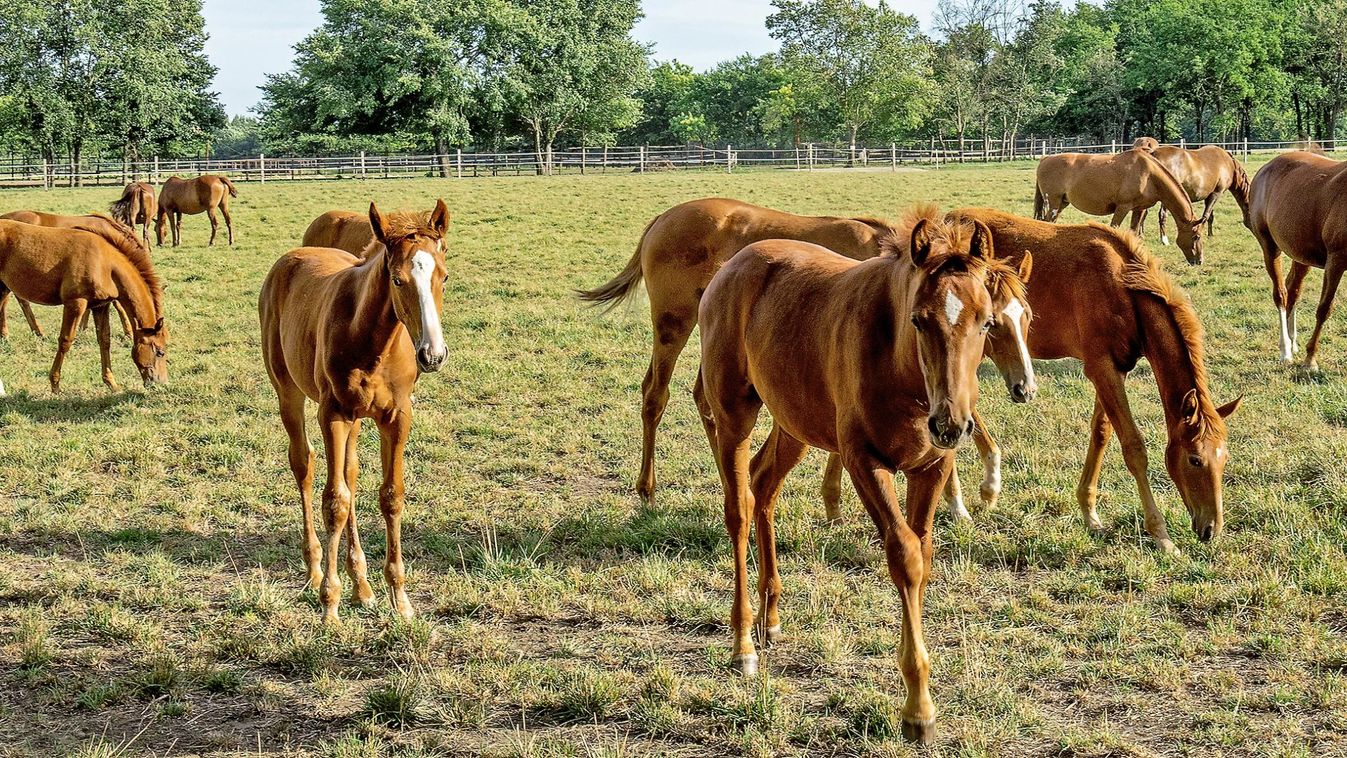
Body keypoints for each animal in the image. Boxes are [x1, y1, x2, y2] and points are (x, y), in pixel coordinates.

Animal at [0, 219, 168, 390]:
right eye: (160, 352)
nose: (161, 382)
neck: (104, 264)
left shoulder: (100, 306)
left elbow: (104, 340)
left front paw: (111, 383)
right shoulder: (75, 304)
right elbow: (65, 341)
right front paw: (55, 384)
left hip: (3, 287)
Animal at [257, 200, 452, 622]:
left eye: (444, 278)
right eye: (397, 280)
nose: (432, 355)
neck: (372, 340)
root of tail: (293, 256)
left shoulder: (397, 416)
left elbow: (390, 495)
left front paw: (400, 598)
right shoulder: (332, 414)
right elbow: (335, 502)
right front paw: (329, 603)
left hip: (358, 420)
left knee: (350, 474)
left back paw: (361, 585)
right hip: (289, 393)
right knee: (305, 465)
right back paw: (315, 569)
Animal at [700, 210, 1012, 743]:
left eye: (986, 321)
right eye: (919, 319)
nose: (951, 424)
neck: (902, 369)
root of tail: (734, 265)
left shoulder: (931, 467)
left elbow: (924, 554)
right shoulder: (863, 461)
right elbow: (905, 556)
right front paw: (918, 708)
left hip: (795, 424)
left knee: (763, 485)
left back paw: (771, 618)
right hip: (734, 414)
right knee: (738, 508)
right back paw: (743, 643)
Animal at [1034, 150, 1206, 265]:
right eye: (1196, 236)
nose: (1199, 260)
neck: (1149, 175)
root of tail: (1045, 159)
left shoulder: (1139, 209)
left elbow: (1134, 233)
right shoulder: (1122, 208)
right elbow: (1114, 229)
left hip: (1061, 204)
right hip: (1053, 203)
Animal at [1239, 150, 1347, 368]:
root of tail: (1266, 167)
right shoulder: (1336, 262)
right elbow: (1324, 308)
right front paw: (1310, 359)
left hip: (1301, 256)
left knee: (1293, 291)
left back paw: (1292, 341)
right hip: (1270, 248)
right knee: (1281, 294)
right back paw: (1286, 350)